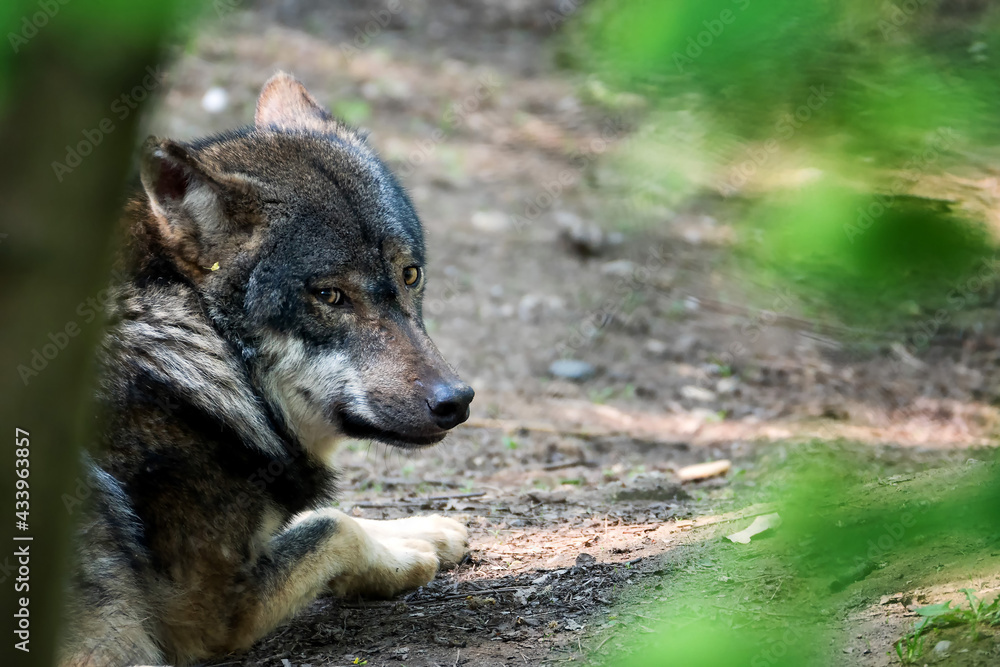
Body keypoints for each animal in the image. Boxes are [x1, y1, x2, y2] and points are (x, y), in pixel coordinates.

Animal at [60, 72, 474, 667]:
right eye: (330, 295)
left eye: (410, 274)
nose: (457, 400)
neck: (195, 340)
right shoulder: (203, 612)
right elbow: (332, 526)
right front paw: (401, 554)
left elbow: (333, 520)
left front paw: (416, 531)